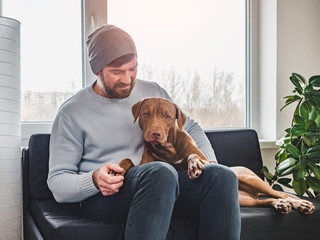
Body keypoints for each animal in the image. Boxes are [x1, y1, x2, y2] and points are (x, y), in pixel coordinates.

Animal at [116, 98, 314, 215]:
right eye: (146, 114)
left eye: (167, 116)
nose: (155, 134)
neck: (167, 149)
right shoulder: (143, 165)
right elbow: (127, 160)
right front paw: (116, 171)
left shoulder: (201, 157)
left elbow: (193, 156)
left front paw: (193, 166)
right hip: (244, 200)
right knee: (269, 200)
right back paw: (279, 205)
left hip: (248, 179)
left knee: (281, 194)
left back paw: (300, 204)